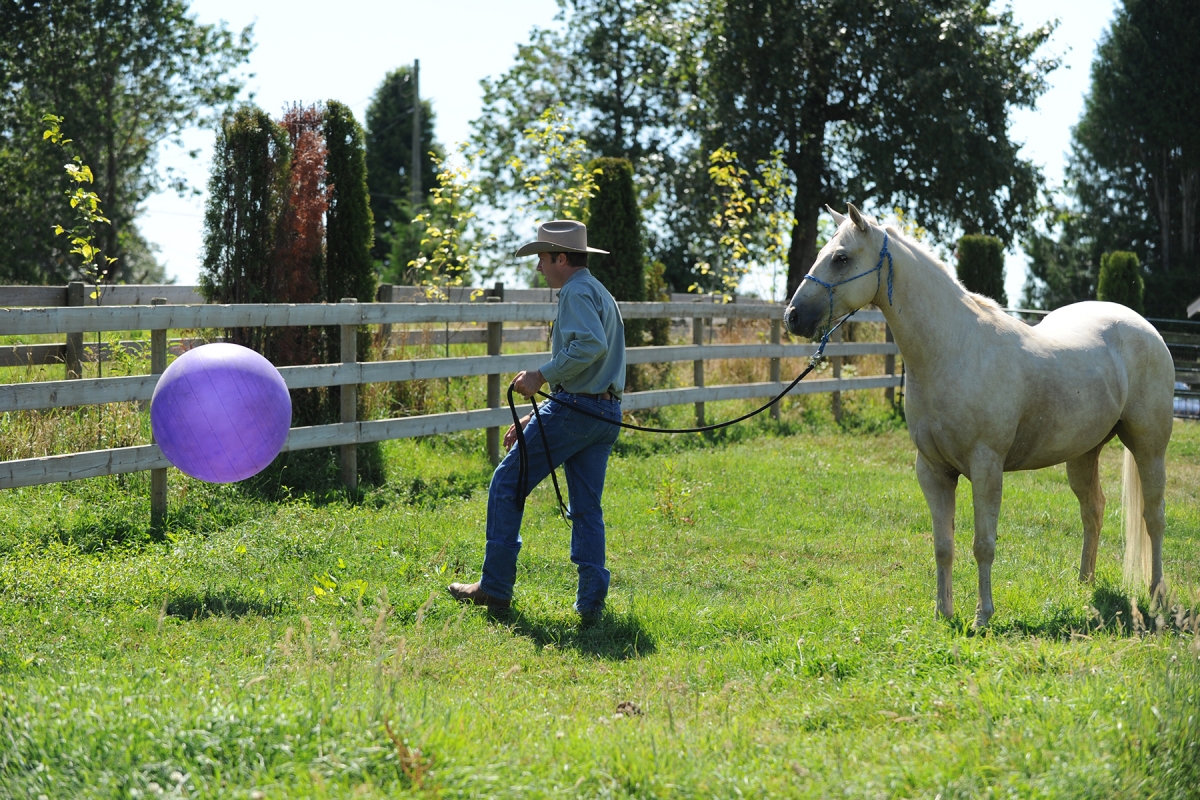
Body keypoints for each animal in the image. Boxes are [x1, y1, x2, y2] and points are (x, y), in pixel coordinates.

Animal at [784, 204, 1174, 627]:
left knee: (1153, 517)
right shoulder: (933, 471)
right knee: (1093, 510)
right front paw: (943, 612)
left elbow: (983, 544)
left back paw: (1156, 594)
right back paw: (1083, 586)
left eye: (841, 258)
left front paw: (982, 617)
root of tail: (1143, 327)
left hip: (1149, 447)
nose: (793, 317)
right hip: (1084, 452)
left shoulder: (986, 467)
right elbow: (943, 545)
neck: (952, 350)